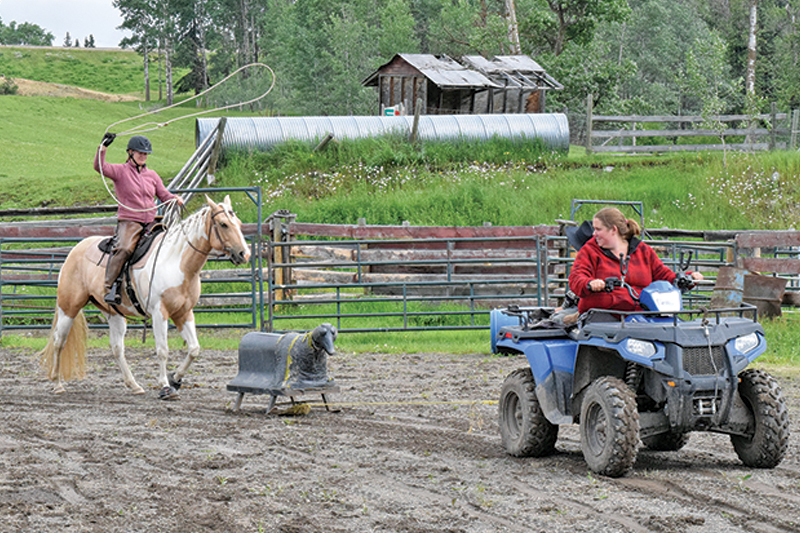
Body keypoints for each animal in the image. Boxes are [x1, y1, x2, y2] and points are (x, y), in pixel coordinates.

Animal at [40, 195, 251, 400]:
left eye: (239, 223)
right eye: (223, 224)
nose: (245, 254)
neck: (176, 262)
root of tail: (75, 250)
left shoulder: (183, 313)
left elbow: (194, 348)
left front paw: (175, 379)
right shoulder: (160, 313)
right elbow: (162, 351)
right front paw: (165, 387)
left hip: (114, 314)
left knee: (117, 348)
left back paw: (134, 385)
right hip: (69, 307)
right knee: (59, 341)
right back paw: (57, 384)